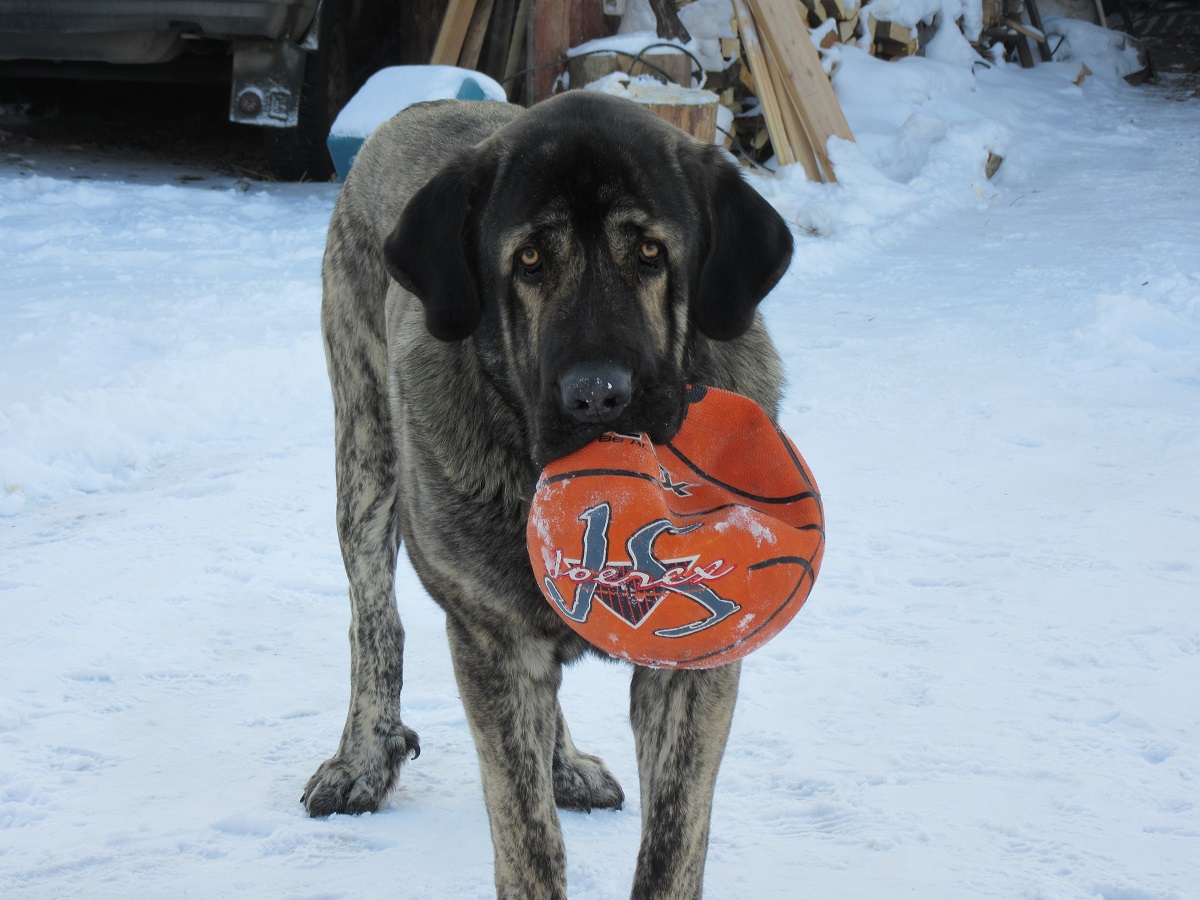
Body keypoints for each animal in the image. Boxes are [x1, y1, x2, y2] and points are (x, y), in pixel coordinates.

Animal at [304, 90, 794, 899]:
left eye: (651, 253)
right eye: (529, 259)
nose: (598, 395)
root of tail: (415, 104)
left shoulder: (694, 668)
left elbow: (674, 837)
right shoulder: (491, 644)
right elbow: (525, 833)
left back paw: (564, 764)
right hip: (365, 454)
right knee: (374, 621)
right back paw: (361, 759)